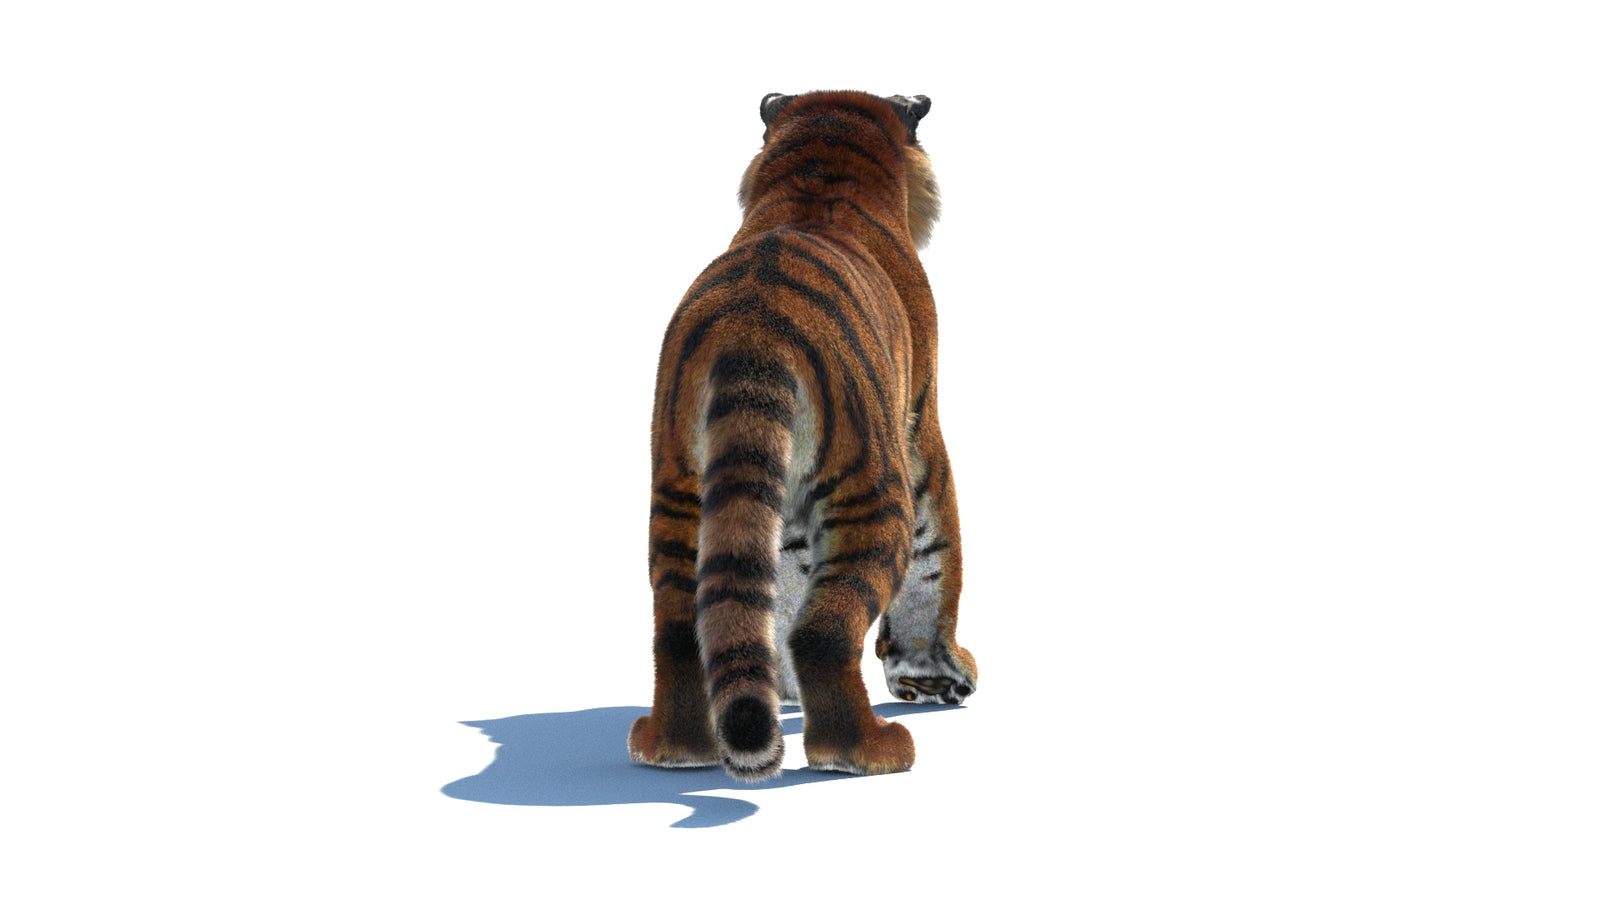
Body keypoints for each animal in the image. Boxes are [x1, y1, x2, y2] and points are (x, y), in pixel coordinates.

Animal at [628, 90, 978, 782]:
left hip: (680, 490)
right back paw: (868, 750)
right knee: (824, 631)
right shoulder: (921, 427)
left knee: (679, 630)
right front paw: (939, 677)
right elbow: (937, 556)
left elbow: (780, 585)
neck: (822, 171)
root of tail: (752, 325)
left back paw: (673, 749)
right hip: (872, 489)